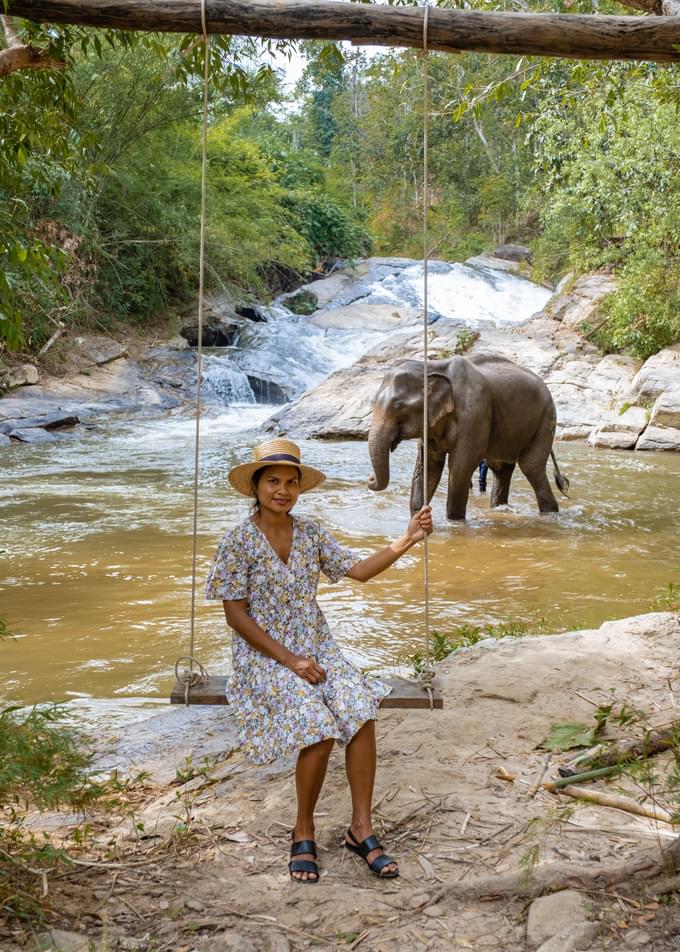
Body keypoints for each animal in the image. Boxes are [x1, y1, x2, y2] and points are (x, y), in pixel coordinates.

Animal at [366, 354, 568, 520]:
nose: (369, 478)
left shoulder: (474, 413)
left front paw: (454, 522)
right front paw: (419, 520)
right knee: (501, 469)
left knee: (531, 467)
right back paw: (499, 509)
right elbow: (428, 466)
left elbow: (460, 466)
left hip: (546, 419)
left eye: (398, 406)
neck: (433, 366)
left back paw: (550, 513)